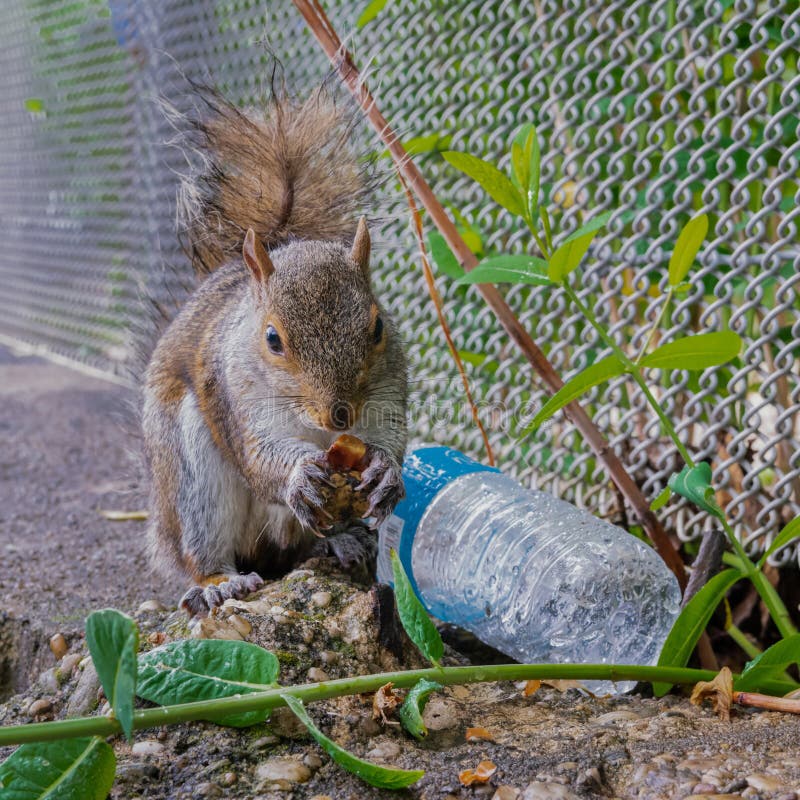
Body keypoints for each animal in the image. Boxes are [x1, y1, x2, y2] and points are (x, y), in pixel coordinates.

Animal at [140, 87, 410, 616]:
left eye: (377, 327)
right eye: (272, 340)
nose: (340, 416)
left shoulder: (387, 393)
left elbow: (392, 439)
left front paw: (386, 471)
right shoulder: (237, 400)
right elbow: (261, 458)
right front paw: (297, 476)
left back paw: (341, 540)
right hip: (190, 478)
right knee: (202, 547)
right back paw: (218, 582)